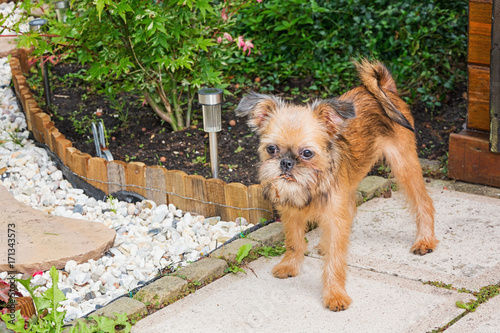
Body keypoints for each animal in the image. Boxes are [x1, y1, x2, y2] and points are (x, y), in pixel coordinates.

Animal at [236, 59, 436, 312]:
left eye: (307, 153)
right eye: (271, 149)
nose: (286, 162)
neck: (312, 184)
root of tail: (384, 89)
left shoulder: (334, 213)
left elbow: (335, 260)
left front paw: (334, 294)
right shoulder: (292, 214)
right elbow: (294, 242)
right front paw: (291, 265)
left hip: (404, 165)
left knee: (423, 201)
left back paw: (425, 240)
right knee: (351, 210)